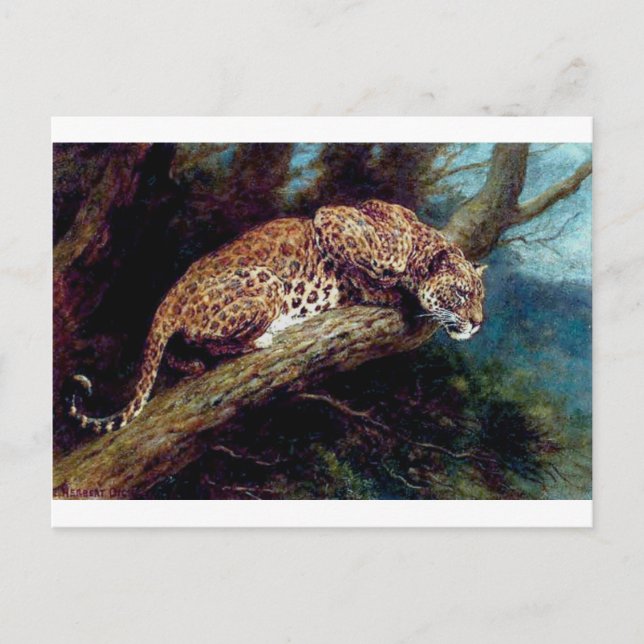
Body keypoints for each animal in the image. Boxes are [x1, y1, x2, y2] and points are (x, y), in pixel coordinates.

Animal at [68, 199, 486, 434]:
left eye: (481, 298)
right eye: (462, 293)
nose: (478, 322)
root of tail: (172, 294)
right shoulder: (331, 220)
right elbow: (370, 262)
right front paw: (385, 288)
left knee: (180, 348)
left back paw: (190, 364)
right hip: (268, 282)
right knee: (212, 342)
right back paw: (260, 339)